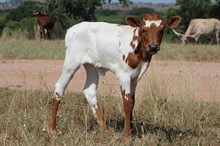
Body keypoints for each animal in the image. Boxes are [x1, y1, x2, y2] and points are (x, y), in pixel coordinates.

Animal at [48, 13, 180, 137]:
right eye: (144, 30)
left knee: (89, 91)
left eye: (161, 30)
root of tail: (72, 29)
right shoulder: (124, 75)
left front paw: (132, 130)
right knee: (59, 88)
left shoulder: (135, 78)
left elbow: (133, 102)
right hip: (71, 62)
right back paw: (52, 128)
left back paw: (105, 129)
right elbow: (127, 102)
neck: (140, 51)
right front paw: (127, 134)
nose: (153, 46)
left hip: (90, 64)